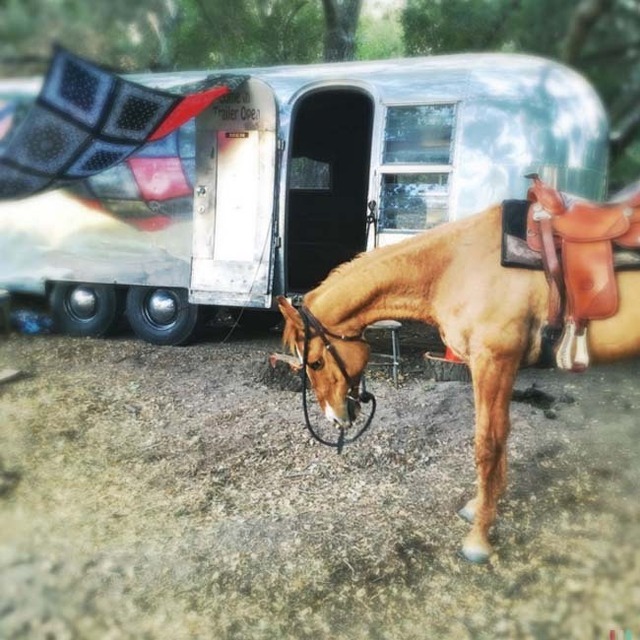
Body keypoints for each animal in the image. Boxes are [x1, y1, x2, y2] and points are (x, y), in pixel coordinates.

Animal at [277, 202, 640, 563]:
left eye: (315, 362)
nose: (335, 417)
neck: (456, 267)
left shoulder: (493, 362)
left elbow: (487, 444)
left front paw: (478, 539)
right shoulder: (496, 367)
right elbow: (500, 435)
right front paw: (482, 506)